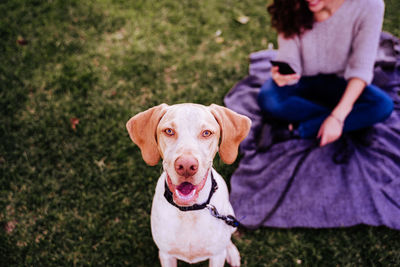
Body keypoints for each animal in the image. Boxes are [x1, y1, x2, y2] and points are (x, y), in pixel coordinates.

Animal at [126, 103, 250, 266]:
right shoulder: (166, 255)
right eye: (169, 131)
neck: (189, 212)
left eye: (206, 133)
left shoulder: (216, 256)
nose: (186, 166)